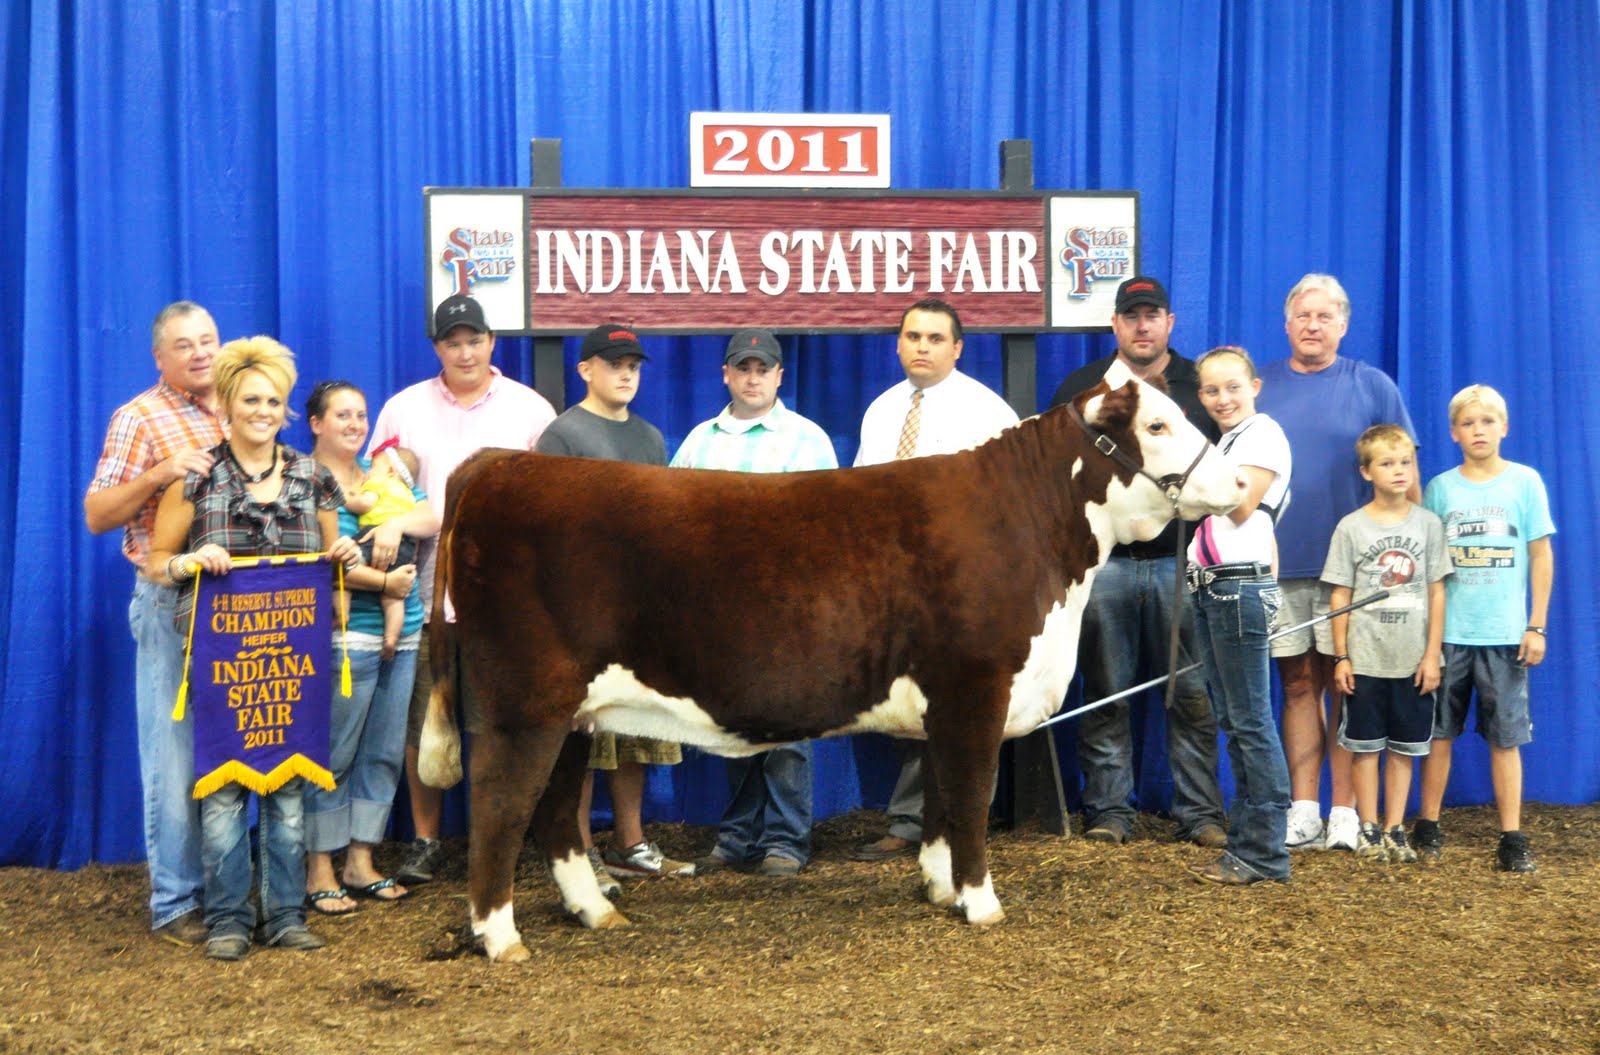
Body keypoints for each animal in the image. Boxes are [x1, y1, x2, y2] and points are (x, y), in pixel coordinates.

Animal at [419, 363, 1241, 966]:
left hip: (575, 710)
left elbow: (940, 798)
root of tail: (499, 466)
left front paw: (938, 887)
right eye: (1158, 424)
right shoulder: (976, 684)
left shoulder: (944, 702)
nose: (1238, 483)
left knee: (556, 809)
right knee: (502, 803)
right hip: (525, 701)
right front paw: (981, 903)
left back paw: (593, 910)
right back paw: (501, 937)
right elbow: (972, 798)